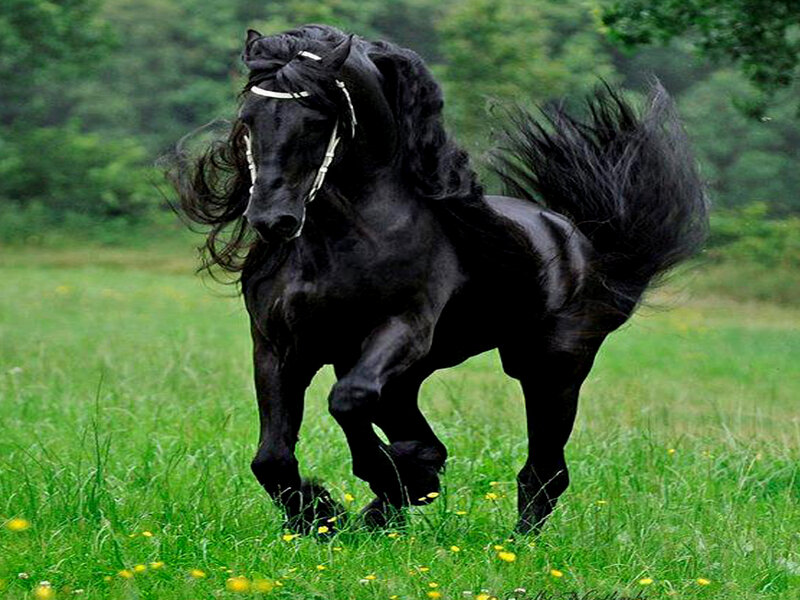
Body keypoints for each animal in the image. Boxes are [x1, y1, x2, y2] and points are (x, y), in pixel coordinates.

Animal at [172, 24, 707, 534]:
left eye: (318, 120)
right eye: (248, 118)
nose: (273, 220)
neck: (339, 240)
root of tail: (579, 239)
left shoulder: (403, 328)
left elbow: (348, 401)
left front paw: (378, 483)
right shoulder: (278, 346)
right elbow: (272, 457)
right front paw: (322, 516)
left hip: (550, 368)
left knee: (544, 471)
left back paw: (508, 538)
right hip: (414, 377)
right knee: (431, 440)